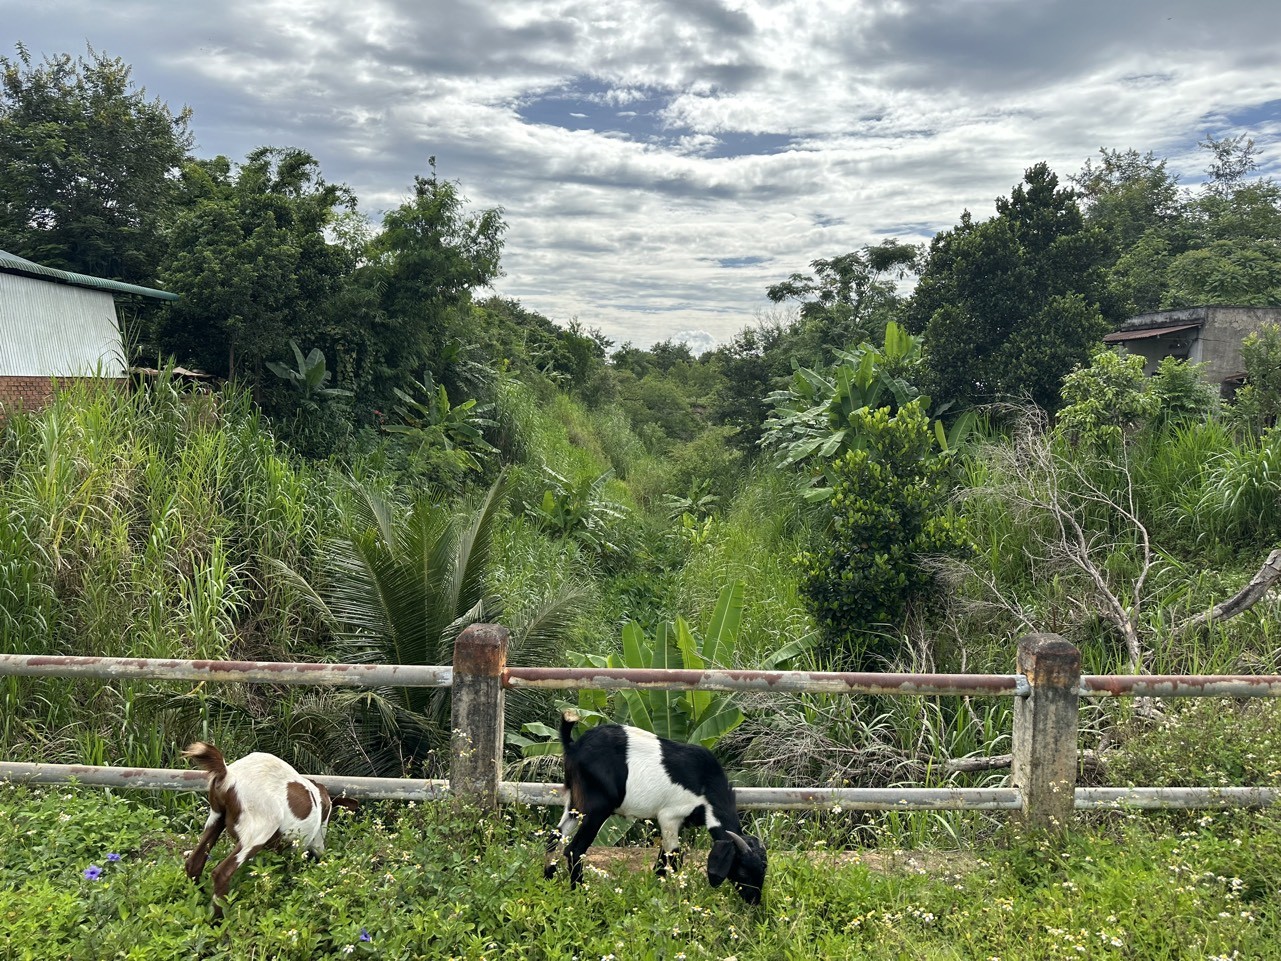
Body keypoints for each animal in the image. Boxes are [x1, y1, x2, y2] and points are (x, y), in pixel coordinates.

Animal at [183, 743, 358, 917]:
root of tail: (228, 775)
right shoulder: (313, 841)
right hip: (259, 830)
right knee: (222, 873)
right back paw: (219, 918)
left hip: (216, 817)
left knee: (194, 862)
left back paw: (197, 898)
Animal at [543, 712, 763, 907]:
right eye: (742, 870)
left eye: (762, 870)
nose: (754, 902)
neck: (706, 784)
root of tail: (573, 746)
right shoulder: (669, 816)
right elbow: (672, 857)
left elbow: (665, 856)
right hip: (597, 808)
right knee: (575, 849)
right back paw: (581, 895)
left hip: (574, 803)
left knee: (554, 838)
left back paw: (547, 883)